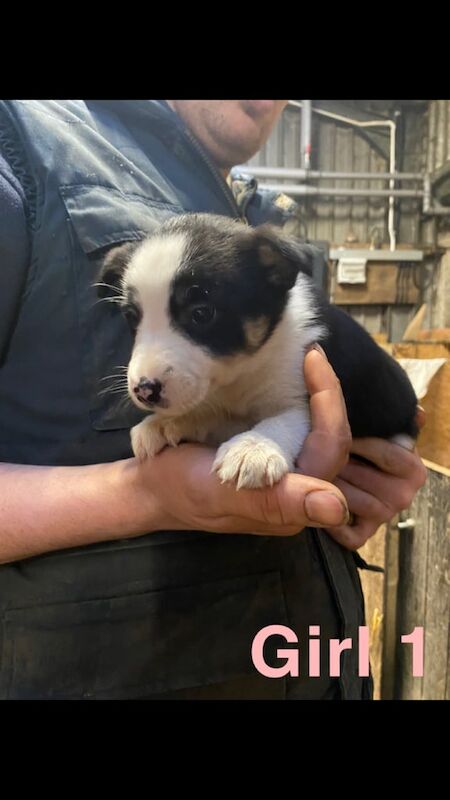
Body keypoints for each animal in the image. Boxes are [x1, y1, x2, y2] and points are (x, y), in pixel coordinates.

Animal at [99, 212, 418, 490]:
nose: (144, 390)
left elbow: (283, 419)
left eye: (202, 313)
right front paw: (167, 422)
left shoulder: (302, 390)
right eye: (131, 317)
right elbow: (211, 415)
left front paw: (255, 447)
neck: (242, 371)